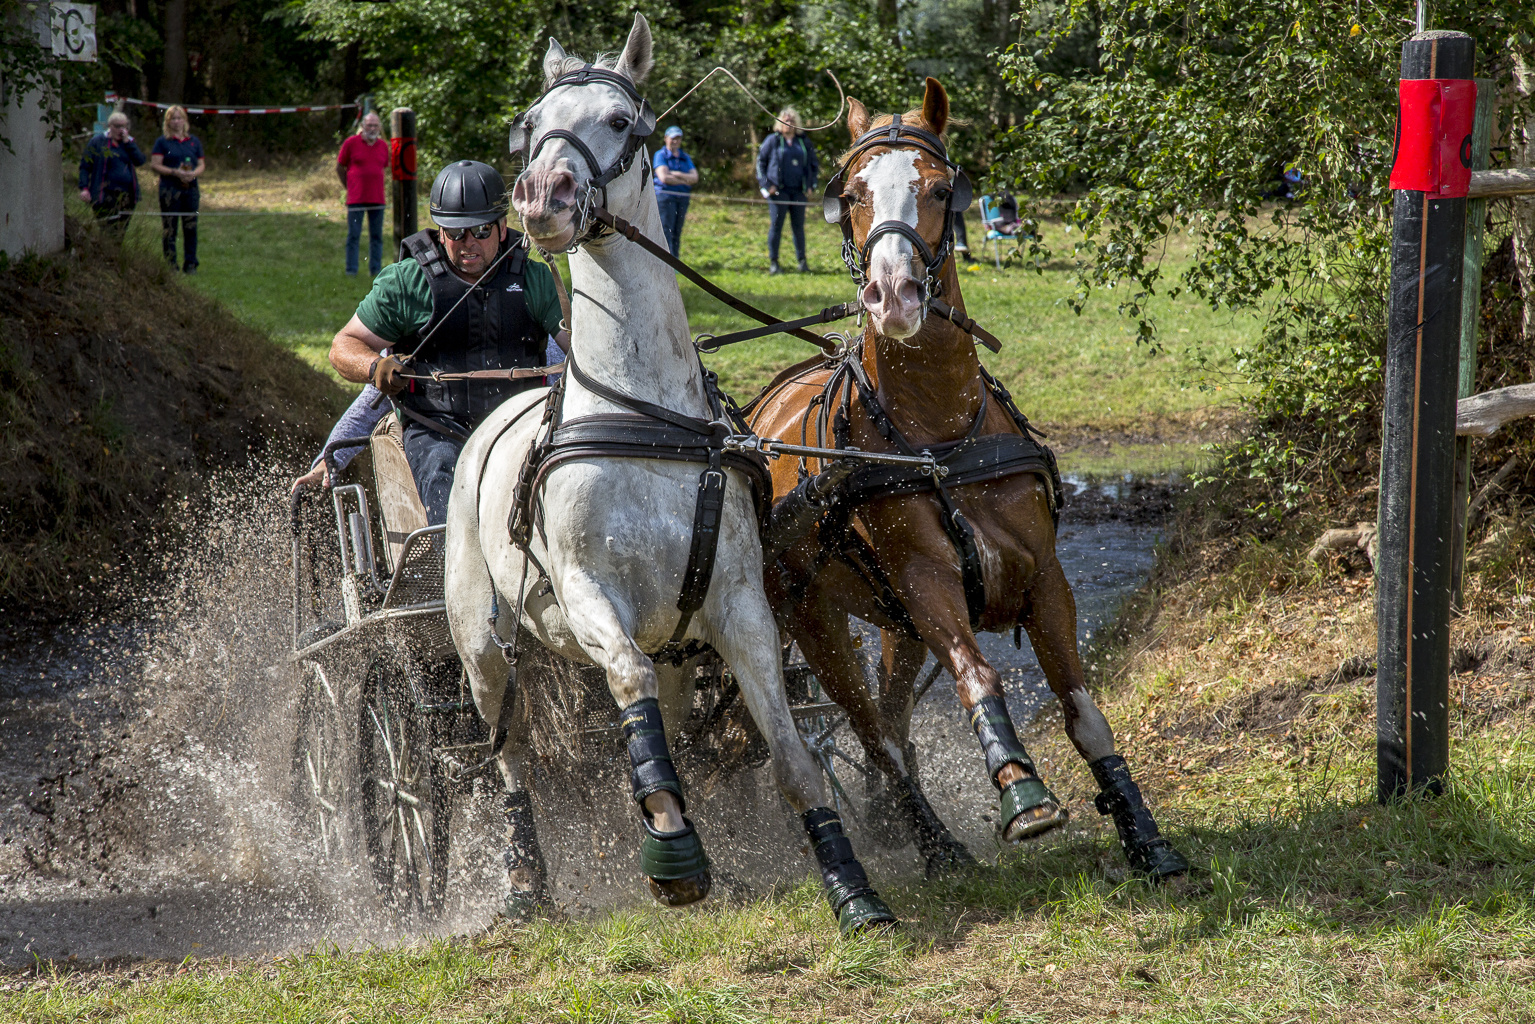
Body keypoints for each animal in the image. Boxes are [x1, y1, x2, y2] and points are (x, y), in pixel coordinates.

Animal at [445, 14, 896, 939]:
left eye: (621, 121)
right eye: (530, 122)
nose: (540, 196)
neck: (644, 416)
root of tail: (487, 426)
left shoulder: (739, 607)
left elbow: (791, 755)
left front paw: (850, 887)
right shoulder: (591, 597)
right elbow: (627, 684)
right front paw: (671, 848)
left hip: (682, 646)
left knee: (675, 720)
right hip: (481, 646)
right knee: (512, 758)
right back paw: (527, 881)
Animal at [746, 80, 1185, 884]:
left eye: (940, 189)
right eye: (850, 194)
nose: (892, 294)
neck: (941, 434)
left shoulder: (1043, 576)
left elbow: (1084, 712)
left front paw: (1142, 832)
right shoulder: (928, 582)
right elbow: (977, 675)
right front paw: (1022, 793)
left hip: (893, 627)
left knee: (890, 721)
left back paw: (901, 823)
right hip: (809, 615)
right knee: (870, 731)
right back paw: (934, 842)